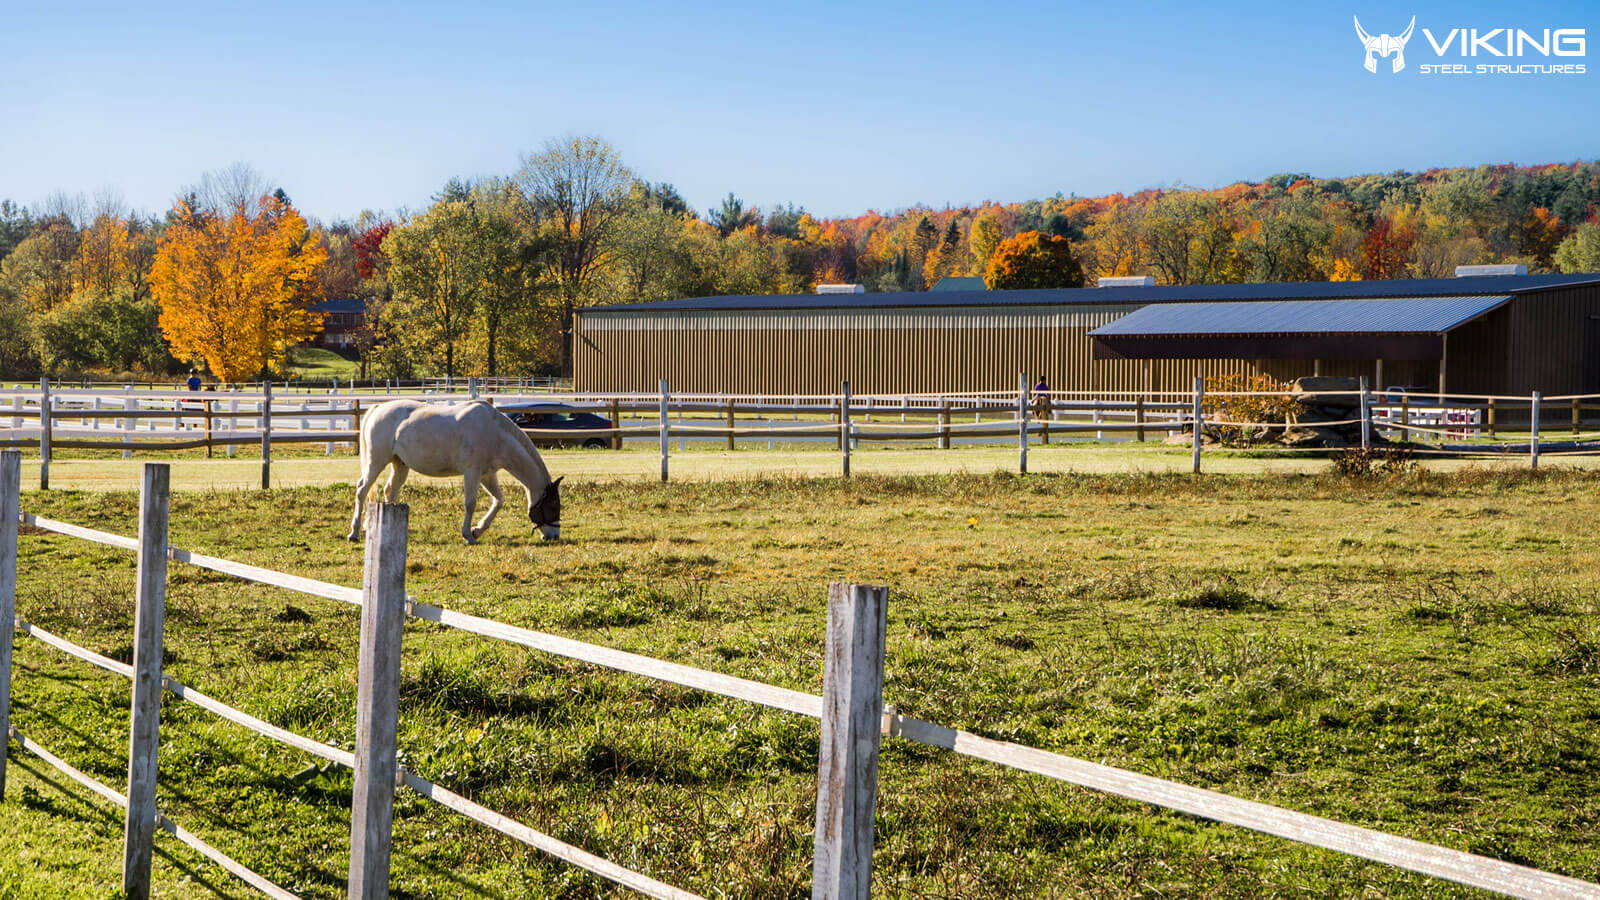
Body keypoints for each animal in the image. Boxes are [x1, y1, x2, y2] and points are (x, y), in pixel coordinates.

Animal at [344, 397, 563, 538]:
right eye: (553, 505)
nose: (554, 536)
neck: (494, 432)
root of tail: (377, 408)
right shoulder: (472, 472)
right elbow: (470, 503)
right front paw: (468, 534)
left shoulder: (487, 474)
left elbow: (499, 500)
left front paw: (478, 529)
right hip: (376, 462)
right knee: (362, 490)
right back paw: (354, 532)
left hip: (400, 464)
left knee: (391, 490)